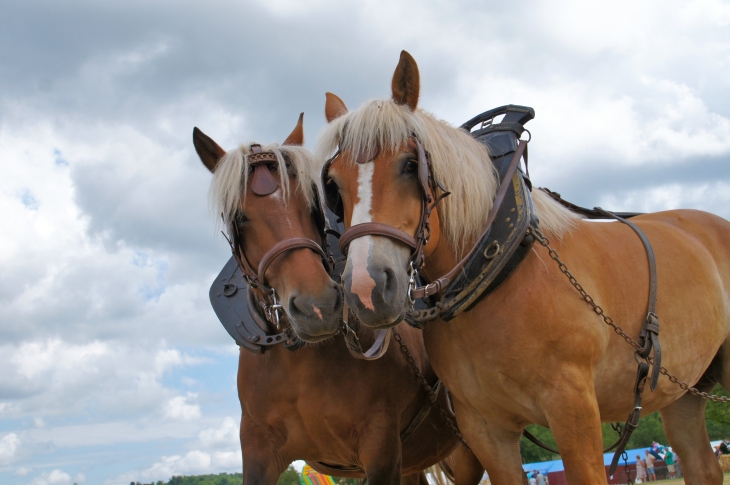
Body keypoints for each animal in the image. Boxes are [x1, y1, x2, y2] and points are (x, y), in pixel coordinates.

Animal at [193, 114, 484, 484]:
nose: (316, 306)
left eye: (312, 203)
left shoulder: (380, 447)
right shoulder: (258, 450)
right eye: (239, 217)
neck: (299, 368)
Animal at [322, 51, 728, 482]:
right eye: (334, 184)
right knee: (702, 465)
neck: (496, 274)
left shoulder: (573, 406)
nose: (366, 289)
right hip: (681, 391)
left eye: (409, 163)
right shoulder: (485, 428)